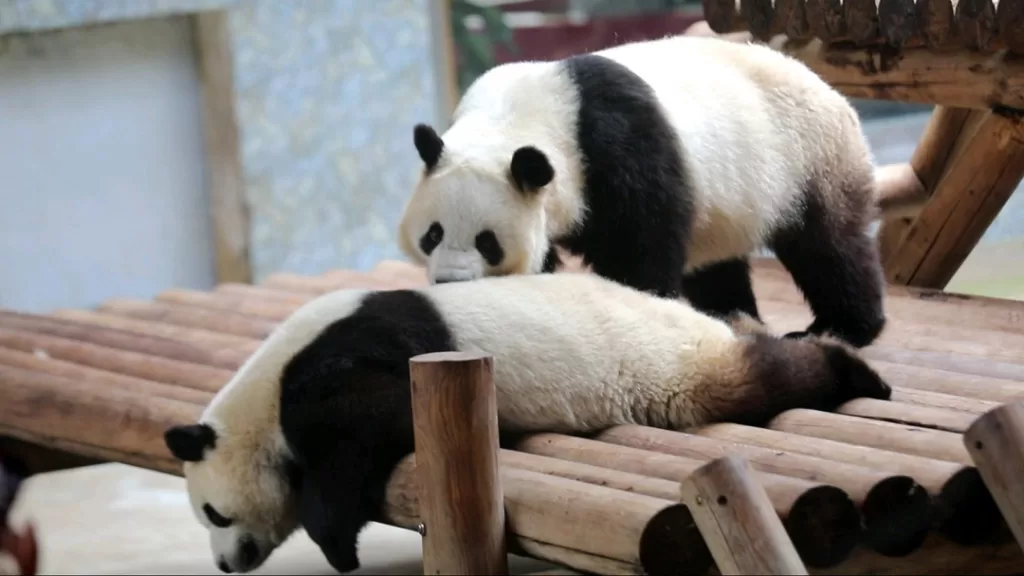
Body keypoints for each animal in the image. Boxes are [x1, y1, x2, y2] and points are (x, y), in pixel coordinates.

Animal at [162, 271, 891, 574]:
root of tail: (693, 317)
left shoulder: (339, 366)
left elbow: (368, 428)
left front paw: (338, 545)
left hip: (669, 369)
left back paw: (854, 371)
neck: (262, 388)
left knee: (750, 378)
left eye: (215, 514)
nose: (227, 565)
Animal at [398, 34, 890, 348]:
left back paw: (842, 327)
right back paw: (731, 313)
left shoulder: (617, 146)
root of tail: (835, 94)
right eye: (433, 234)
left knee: (829, 248)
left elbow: (640, 242)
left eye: (487, 241)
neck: (517, 116)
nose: (451, 282)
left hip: (808, 160)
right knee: (716, 259)